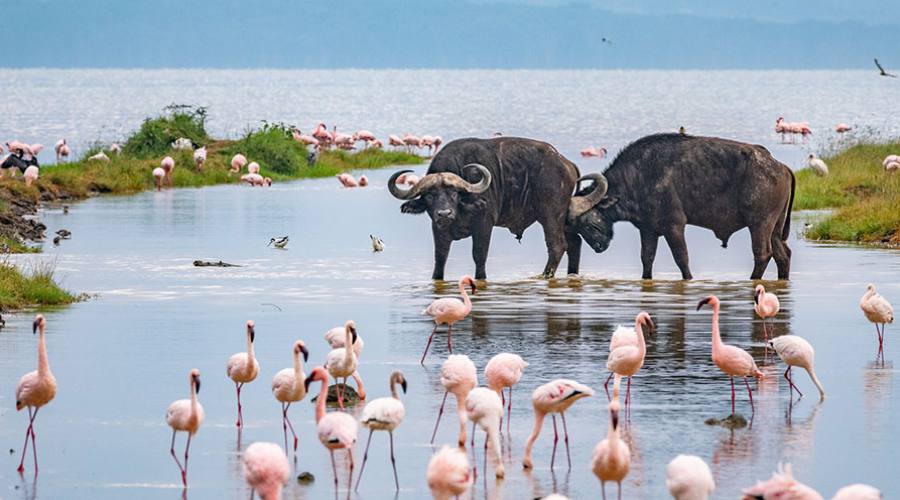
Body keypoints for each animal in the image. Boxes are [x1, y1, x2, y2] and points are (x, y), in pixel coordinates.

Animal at [386, 137, 604, 280]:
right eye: (430, 196)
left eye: (454, 194)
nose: (444, 213)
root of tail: (566, 163)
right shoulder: (438, 229)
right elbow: (440, 257)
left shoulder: (484, 224)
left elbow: (479, 255)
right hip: (563, 217)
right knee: (574, 243)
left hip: (551, 215)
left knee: (557, 245)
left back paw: (545, 275)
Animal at [568, 133, 796, 280]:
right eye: (576, 227)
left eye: (587, 223)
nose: (599, 247)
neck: (639, 177)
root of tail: (780, 166)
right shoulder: (648, 230)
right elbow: (646, 259)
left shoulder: (674, 226)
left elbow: (681, 258)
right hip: (775, 228)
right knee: (782, 254)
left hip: (759, 224)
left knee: (762, 254)